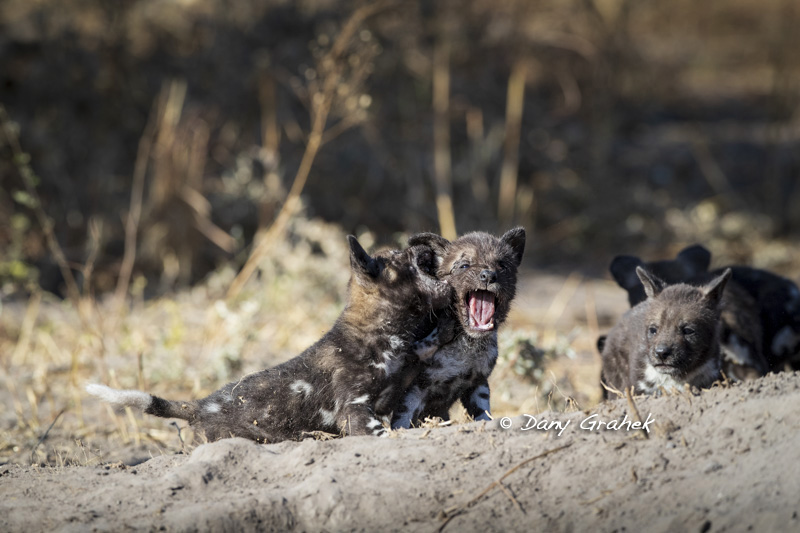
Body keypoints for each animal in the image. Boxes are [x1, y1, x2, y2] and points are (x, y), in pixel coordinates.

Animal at [88, 236, 454, 440]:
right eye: (402, 260)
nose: (421, 246)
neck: (381, 333)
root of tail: (200, 406)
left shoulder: (399, 377)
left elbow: (420, 354)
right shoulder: (355, 410)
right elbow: (381, 432)